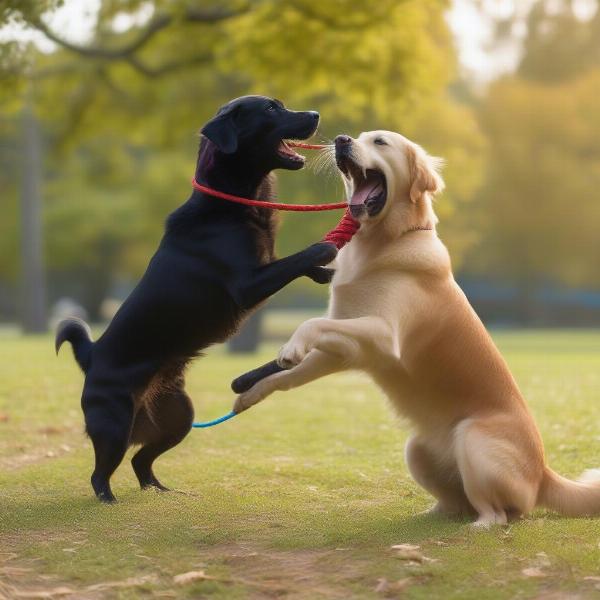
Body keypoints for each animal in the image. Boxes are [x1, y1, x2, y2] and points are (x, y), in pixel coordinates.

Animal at [56, 97, 338, 502]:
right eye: (271, 109)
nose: (315, 114)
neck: (233, 202)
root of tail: (92, 354)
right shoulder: (247, 284)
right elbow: (298, 257)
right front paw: (326, 249)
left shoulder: (264, 267)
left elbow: (293, 263)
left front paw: (326, 273)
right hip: (114, 423)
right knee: (100, 474)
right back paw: (110, 500)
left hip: (179, 417)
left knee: (141, 461)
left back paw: (164, 492)